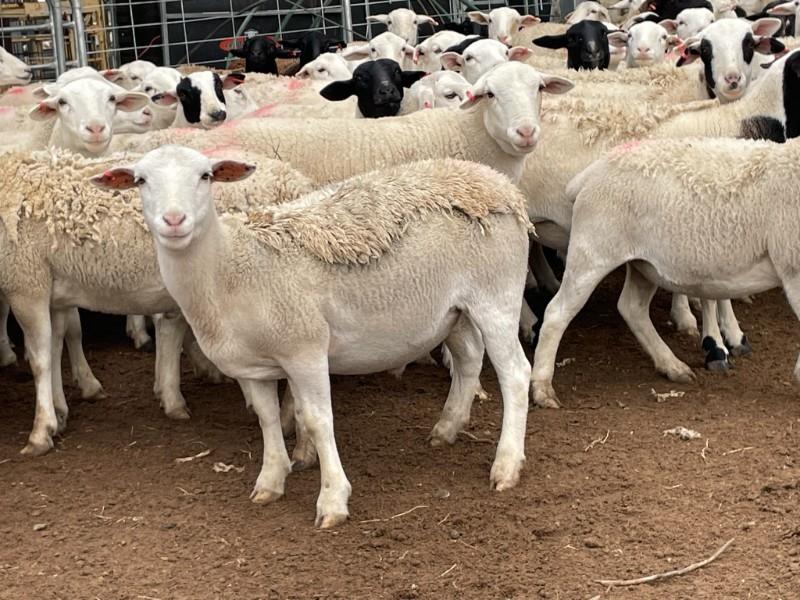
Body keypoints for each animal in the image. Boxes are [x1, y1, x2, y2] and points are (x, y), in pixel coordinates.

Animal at [0, 147, 314, 456]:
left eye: (205, 176)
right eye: (140, 180)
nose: (174, 220)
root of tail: (299, 182)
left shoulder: (26, 283)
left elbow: (40, 358)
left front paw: (41, 431)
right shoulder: (50, 289)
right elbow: (55, 347)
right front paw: (60, 411)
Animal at [95, 145, 533, 528]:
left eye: (205, 176)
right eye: (140, 180)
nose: (174, 220)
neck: (230, 268)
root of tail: (496, 182)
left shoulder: (304, 350)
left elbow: (319, 420)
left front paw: (332, 500)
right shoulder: (251, 366)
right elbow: (268, 417)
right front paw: (271, 480)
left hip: (496, 297)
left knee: (514, 374)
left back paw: (506, 464)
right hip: (452, 311)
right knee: (469, 358)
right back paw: (447, 428)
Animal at [531, 135, 798, 409]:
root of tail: (590, 174)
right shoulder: (793, 267)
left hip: (643, 264)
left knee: (632, 307)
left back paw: (672, 366)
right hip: (593, 250)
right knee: (556, 313)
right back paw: (542, 389)